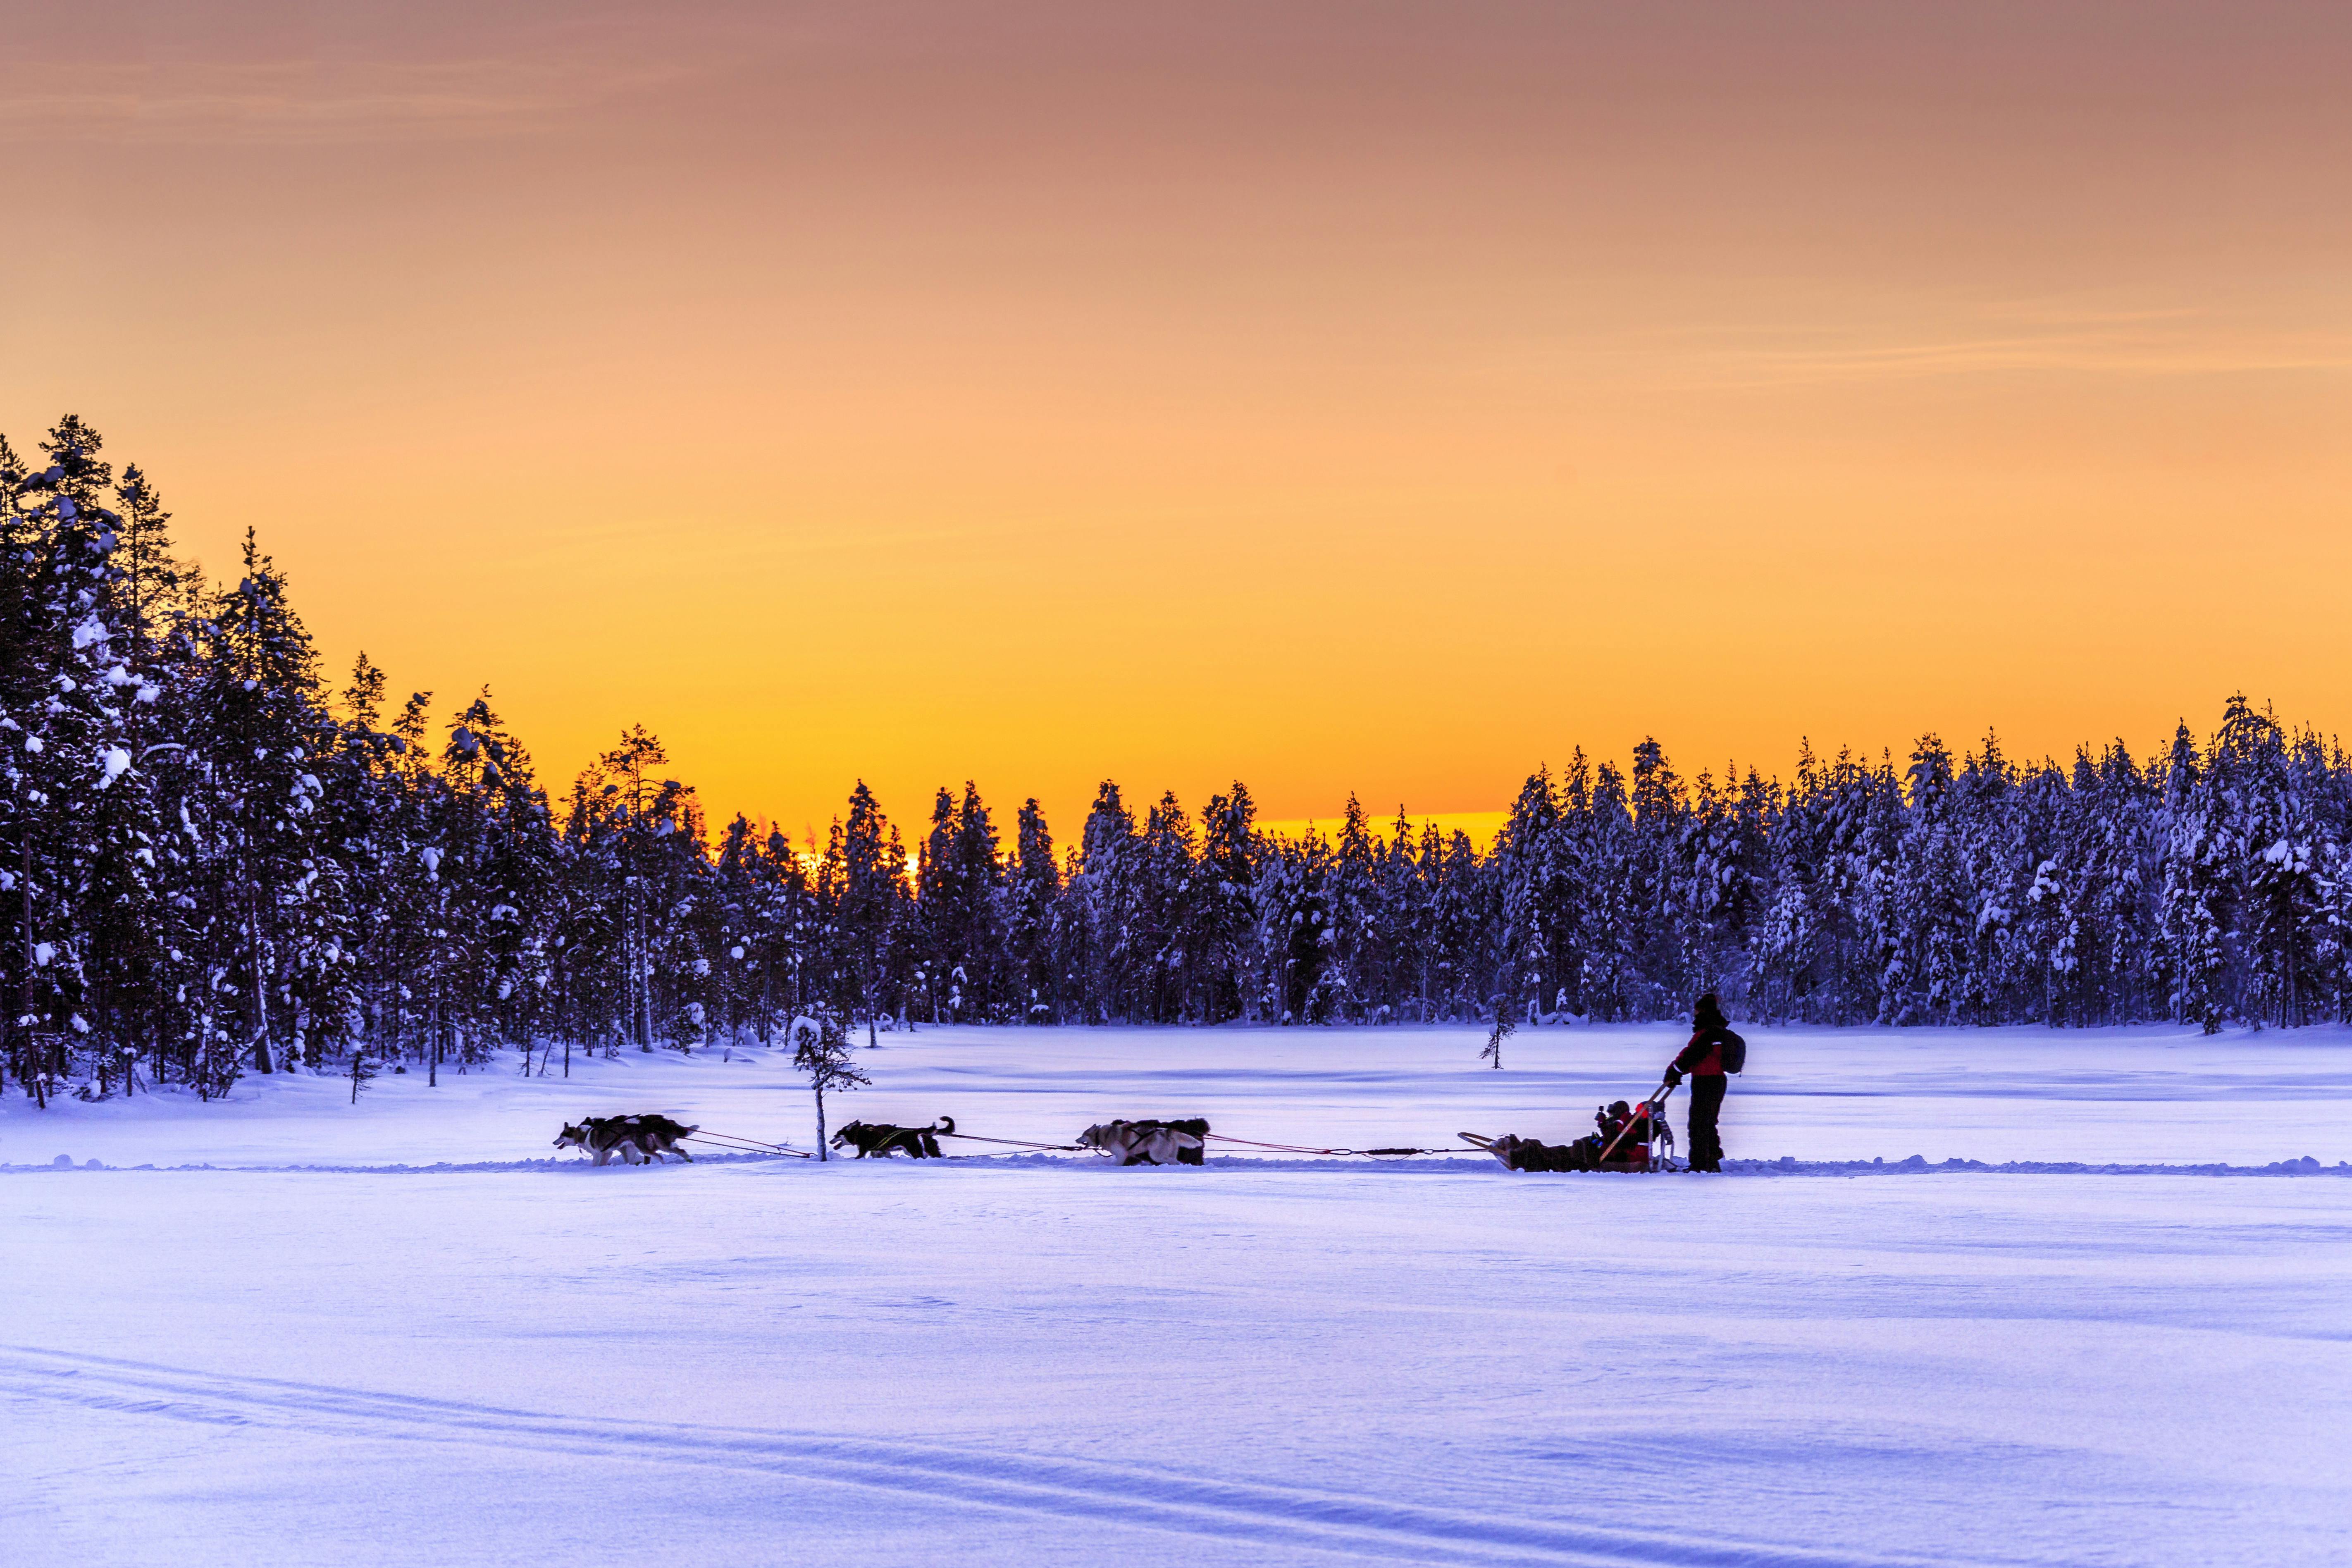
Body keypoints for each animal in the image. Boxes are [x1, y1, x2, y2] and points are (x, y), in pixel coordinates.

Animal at [553, 1114, 696, 1166]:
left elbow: (595, 1164)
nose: (553, 1142)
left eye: (561, 1135)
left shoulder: (598, 1153)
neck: (586, 1133)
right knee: (679, 1151)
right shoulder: (608, 1152)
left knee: (660, 1156)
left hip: (649, 1146)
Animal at [828, 1124, 955, 1161]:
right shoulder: (880, 1151)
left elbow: (859, 1157)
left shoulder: (864, 1150)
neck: (860, 1133)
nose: (830, 1141)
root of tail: (915, 1131)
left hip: (913, 1150)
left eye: (837, 1135)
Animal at [1077, 1114, 1204, 1166]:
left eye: (1084, 1135)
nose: (1076, 1140)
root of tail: (1167, 1131)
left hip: (1156, 1155)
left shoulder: (1122, 1154)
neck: (1103, 1134)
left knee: (1172, 1161)